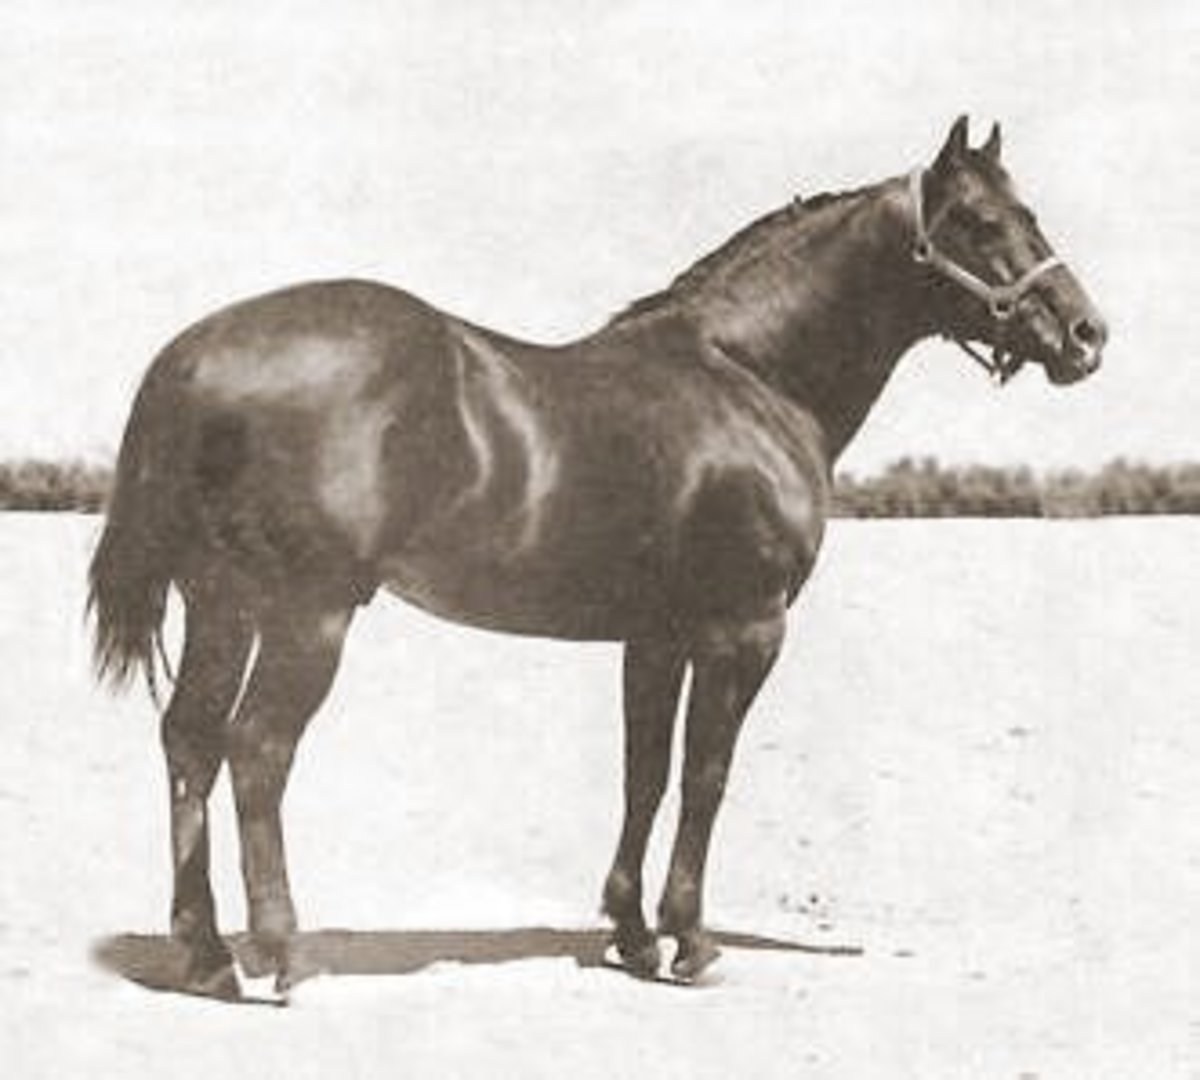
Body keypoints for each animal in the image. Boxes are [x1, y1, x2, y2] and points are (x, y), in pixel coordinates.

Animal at [89, 117, 1107, 999]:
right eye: (982, 222)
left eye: (1028, 213)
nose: (1087, 335)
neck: (749, 375)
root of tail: (196, 354)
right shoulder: (745, 629)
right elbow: (706, 776)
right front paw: (692, 942)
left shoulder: (657, 635)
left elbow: (643, 772)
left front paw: (633, 934)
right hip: (310, 613)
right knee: (257, 750)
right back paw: (282, 951)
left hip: (224, 603)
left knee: (190, 740)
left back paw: (208, 955)